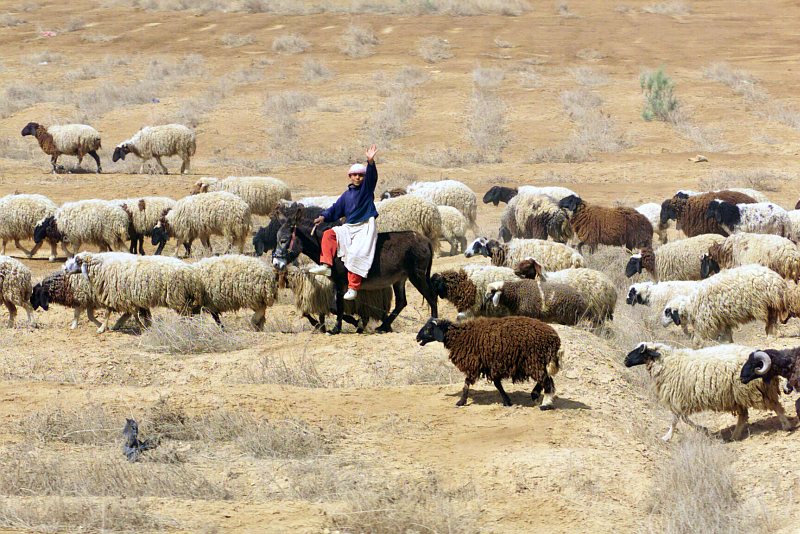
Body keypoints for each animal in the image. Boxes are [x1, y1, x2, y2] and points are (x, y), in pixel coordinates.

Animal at [63, 252, 200, 333]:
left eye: (78, 261)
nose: (64, 269)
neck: (102, 267)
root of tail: (191, 272)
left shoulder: (116, 295)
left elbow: (109, 313)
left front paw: (102, 328)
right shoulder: (131, 298)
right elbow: (139, 314)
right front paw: (147, 325)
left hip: (176, 296)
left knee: (187, 312)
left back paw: (187, 326)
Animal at [416, 316, 562, 408]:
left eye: (428, 329)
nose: (417, 338)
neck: (459, 336)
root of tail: (554, 339)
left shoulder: (474, 363)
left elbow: (466, 383)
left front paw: (461, 402)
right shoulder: (490, 364)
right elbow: (498, 384)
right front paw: (507, 401)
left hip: (534, 359)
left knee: (546, 381)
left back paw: (545, 404)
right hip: (537, 361)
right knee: (546, 378)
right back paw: (535, 394)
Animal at [625, 342, 790, 441]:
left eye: (641, 351)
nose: (625, 360)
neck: (668, 363)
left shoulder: (678, 397)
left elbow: (676, 419)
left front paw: (668, 437)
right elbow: (681, 418)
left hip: (753, 391)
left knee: (776, 406)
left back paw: (786, 425)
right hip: (739, 396)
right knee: (744, 416)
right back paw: (735, 436)